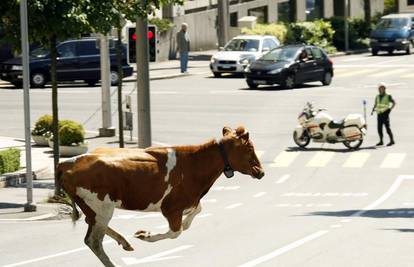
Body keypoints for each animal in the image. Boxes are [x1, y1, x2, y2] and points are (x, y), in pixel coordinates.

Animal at [58, 126, 264, 267]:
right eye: (249, 149)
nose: (261, 172)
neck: (195, 165)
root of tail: (66, 163)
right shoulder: (171, 208)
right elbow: (176, 232)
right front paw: (145, 235)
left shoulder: (189, 201)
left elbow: (195, 213)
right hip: (101, 207)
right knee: (93, 240)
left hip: (95, 208)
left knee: (91, 227)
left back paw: (124, 242)